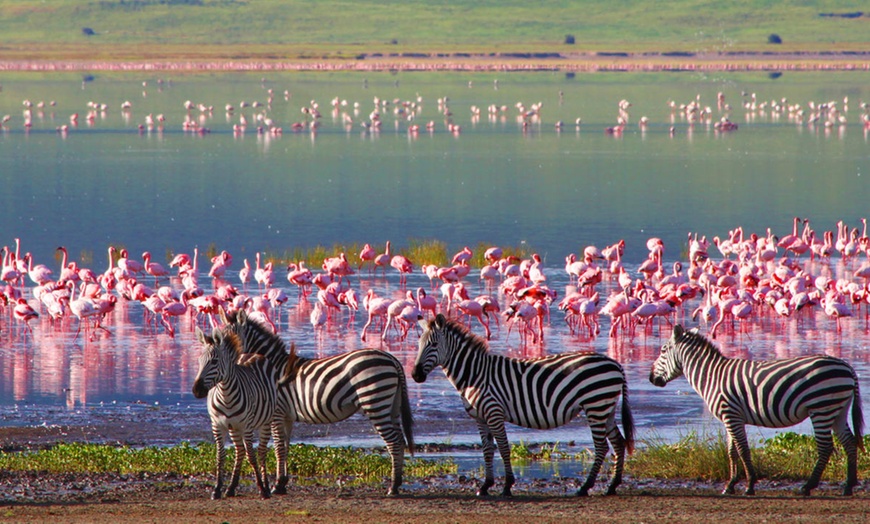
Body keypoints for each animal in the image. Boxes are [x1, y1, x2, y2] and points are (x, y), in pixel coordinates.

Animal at [193, 328, 276, 500]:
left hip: (266, 422)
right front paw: (217, 489)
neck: (226, 395)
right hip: (233, 427)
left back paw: (265, 485)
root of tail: (252, 354)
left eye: (214, 361)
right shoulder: (217, 425)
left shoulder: (247, 427)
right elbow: (220, 456)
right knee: (240, 451)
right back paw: (231, 487)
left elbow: (252, 455)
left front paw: (261, 488)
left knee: (261, 451)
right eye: (199, 361)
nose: (196, 390)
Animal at [223, 310, 418, 498]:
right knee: (400, 439)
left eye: (229, 340)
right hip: (391, 405)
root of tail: (392, 359)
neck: (271, 368)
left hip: (375, 401)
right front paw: (283, 483)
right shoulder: (287, 416)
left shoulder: (277, 413)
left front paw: (276, 485)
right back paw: (397, 483)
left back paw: (393, 487)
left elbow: (278, 447)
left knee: (393, 442)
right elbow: (285, 445)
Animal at [412, 314, 636, 498]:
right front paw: (485, 486)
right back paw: (612, 486)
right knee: (618, 442)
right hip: (605, 407)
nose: (415, 375)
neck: (474, 375)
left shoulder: (494, 412)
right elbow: (487, 450)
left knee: (602, 447)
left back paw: (585, 487)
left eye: (433, 344)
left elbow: (503, 448)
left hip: (595, 405)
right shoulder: (480, 417)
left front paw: (507, 486)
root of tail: (615, 364)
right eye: (418, 344)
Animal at [652, 324, 860, 496]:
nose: (651, 378)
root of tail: (847, 366)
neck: (712, 376)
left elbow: (743, 450)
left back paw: (808, 487)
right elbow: (731, 451)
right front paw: (730, 485)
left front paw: (750, 485)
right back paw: (848, 486)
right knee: (849, 443)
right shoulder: (730, 418)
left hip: (821, 407)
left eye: (663, 350)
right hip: (838, 410)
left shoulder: (731, 415)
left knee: (825, 447)